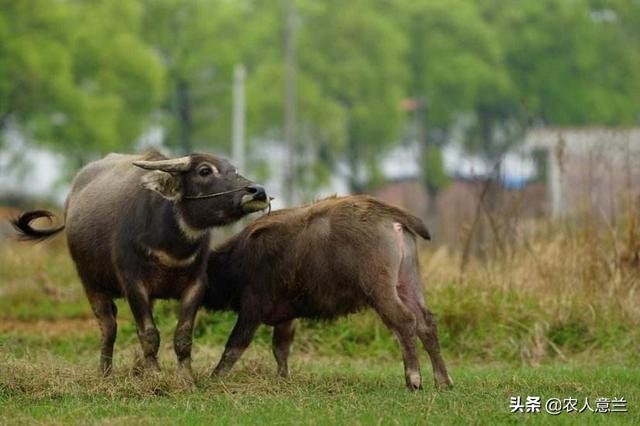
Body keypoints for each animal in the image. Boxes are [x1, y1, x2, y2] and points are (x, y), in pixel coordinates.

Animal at [12, 148, 268, 382]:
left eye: (234, 170)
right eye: (204, 171)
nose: (258, 191)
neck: (170, 243)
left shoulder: (195, 284)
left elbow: (183, 335)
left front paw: (186, 379)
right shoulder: (133, 284)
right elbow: (149, 333)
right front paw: (155, 375)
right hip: (90, 282)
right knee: (108, 326)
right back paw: (105, 373)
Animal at [204, 196, 450, 390]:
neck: (237, 259)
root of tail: (387, 213)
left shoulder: (252, 309)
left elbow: (235, 345)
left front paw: (214, 377)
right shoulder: (286, 318)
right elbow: (280, 348)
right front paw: (283, 378)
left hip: (380, 290)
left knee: (405, 322)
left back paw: (414, 379)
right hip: (407, 282)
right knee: (426, 322)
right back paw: (443, 380)